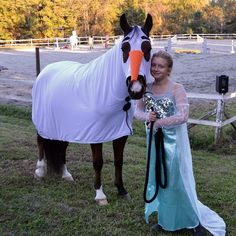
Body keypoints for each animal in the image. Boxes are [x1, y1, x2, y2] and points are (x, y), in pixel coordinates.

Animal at [32, 13, 153, 205]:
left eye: (148, 47)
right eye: (124, 48)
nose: (135, 88)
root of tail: (45, 71)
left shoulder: (121, 133)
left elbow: (119, 161)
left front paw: (122, 190)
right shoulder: (96, 134)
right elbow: (98, 162)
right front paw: (100, 195)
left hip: (64, 126)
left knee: (62, 147)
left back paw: (66, 174)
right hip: (43, 123)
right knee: (40, 142)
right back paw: (40, 171)